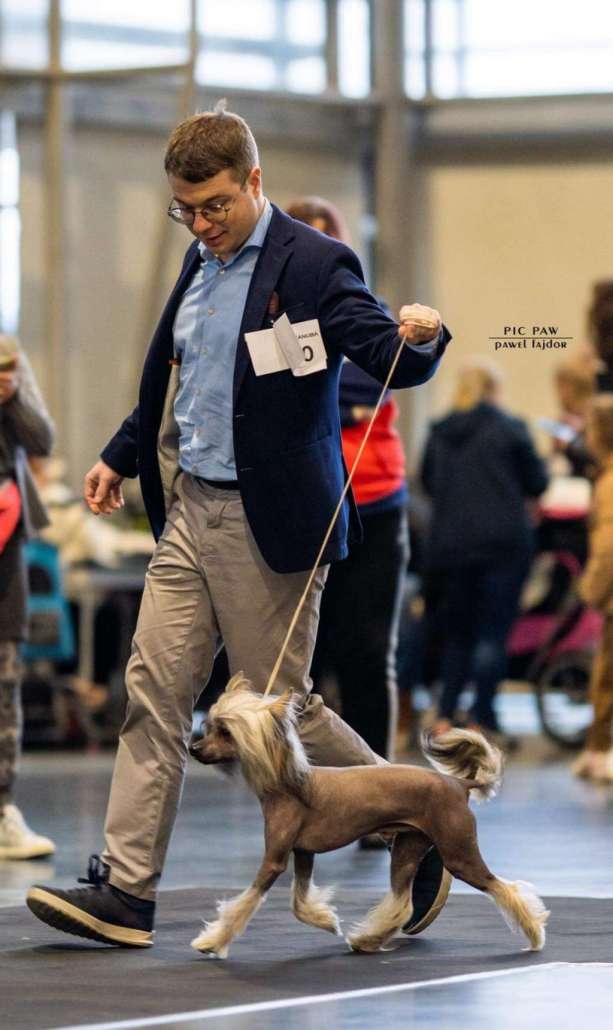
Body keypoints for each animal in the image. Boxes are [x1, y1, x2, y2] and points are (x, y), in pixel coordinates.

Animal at [189, 672, 549, 958]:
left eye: (226, 732)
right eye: (210, 727)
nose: (193, 749)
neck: (287, 782)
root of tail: (458, 783)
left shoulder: (275, 860)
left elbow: (246, 903)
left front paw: (212, 942)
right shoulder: (303, 853)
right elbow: (298, 903)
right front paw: (327, 921)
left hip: (460, 853)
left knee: (504, 888)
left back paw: (534, 935)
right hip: (408, 849)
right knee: (403, 903)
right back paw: (368, 939)